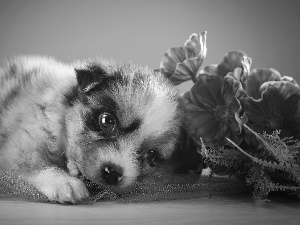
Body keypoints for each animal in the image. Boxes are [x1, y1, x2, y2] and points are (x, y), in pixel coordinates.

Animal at [0, 55, 180, 203]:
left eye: (152, 155)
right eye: (107, 121)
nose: (113, 173)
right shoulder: (21, 145)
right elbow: (35, 163)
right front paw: (64, 182)